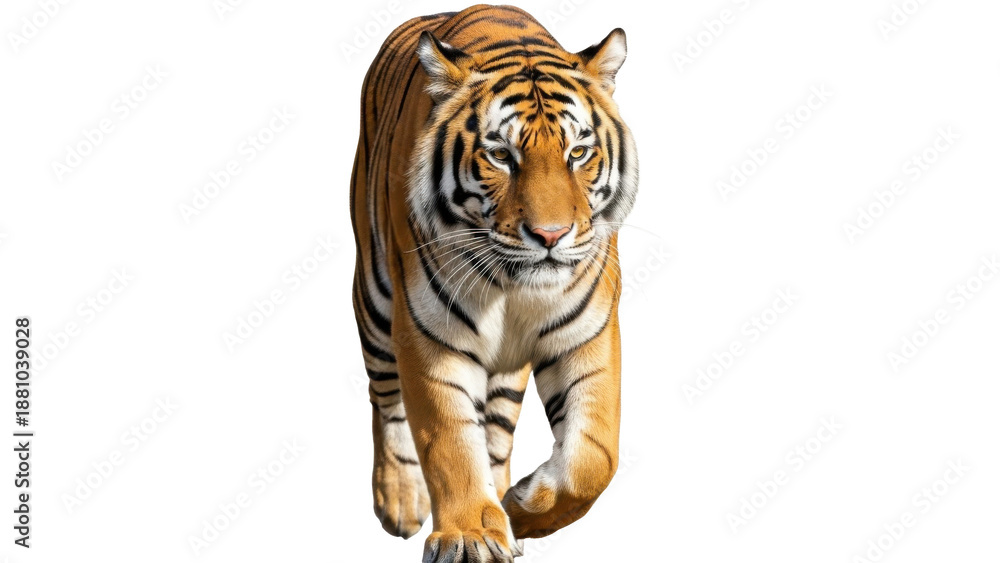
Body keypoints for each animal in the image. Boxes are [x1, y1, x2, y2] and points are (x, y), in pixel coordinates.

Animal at [350, 5, 639, 561]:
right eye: (501, 156)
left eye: (577, 153)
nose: (550, 235)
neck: (512, 287)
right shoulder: (430, 335)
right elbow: (448, 440)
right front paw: (468, 534)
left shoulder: (587, 335)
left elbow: (595, 458)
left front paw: (519, 509)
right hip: (374, 300)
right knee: (386, 399)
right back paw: (400, 501)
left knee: (497, 432)